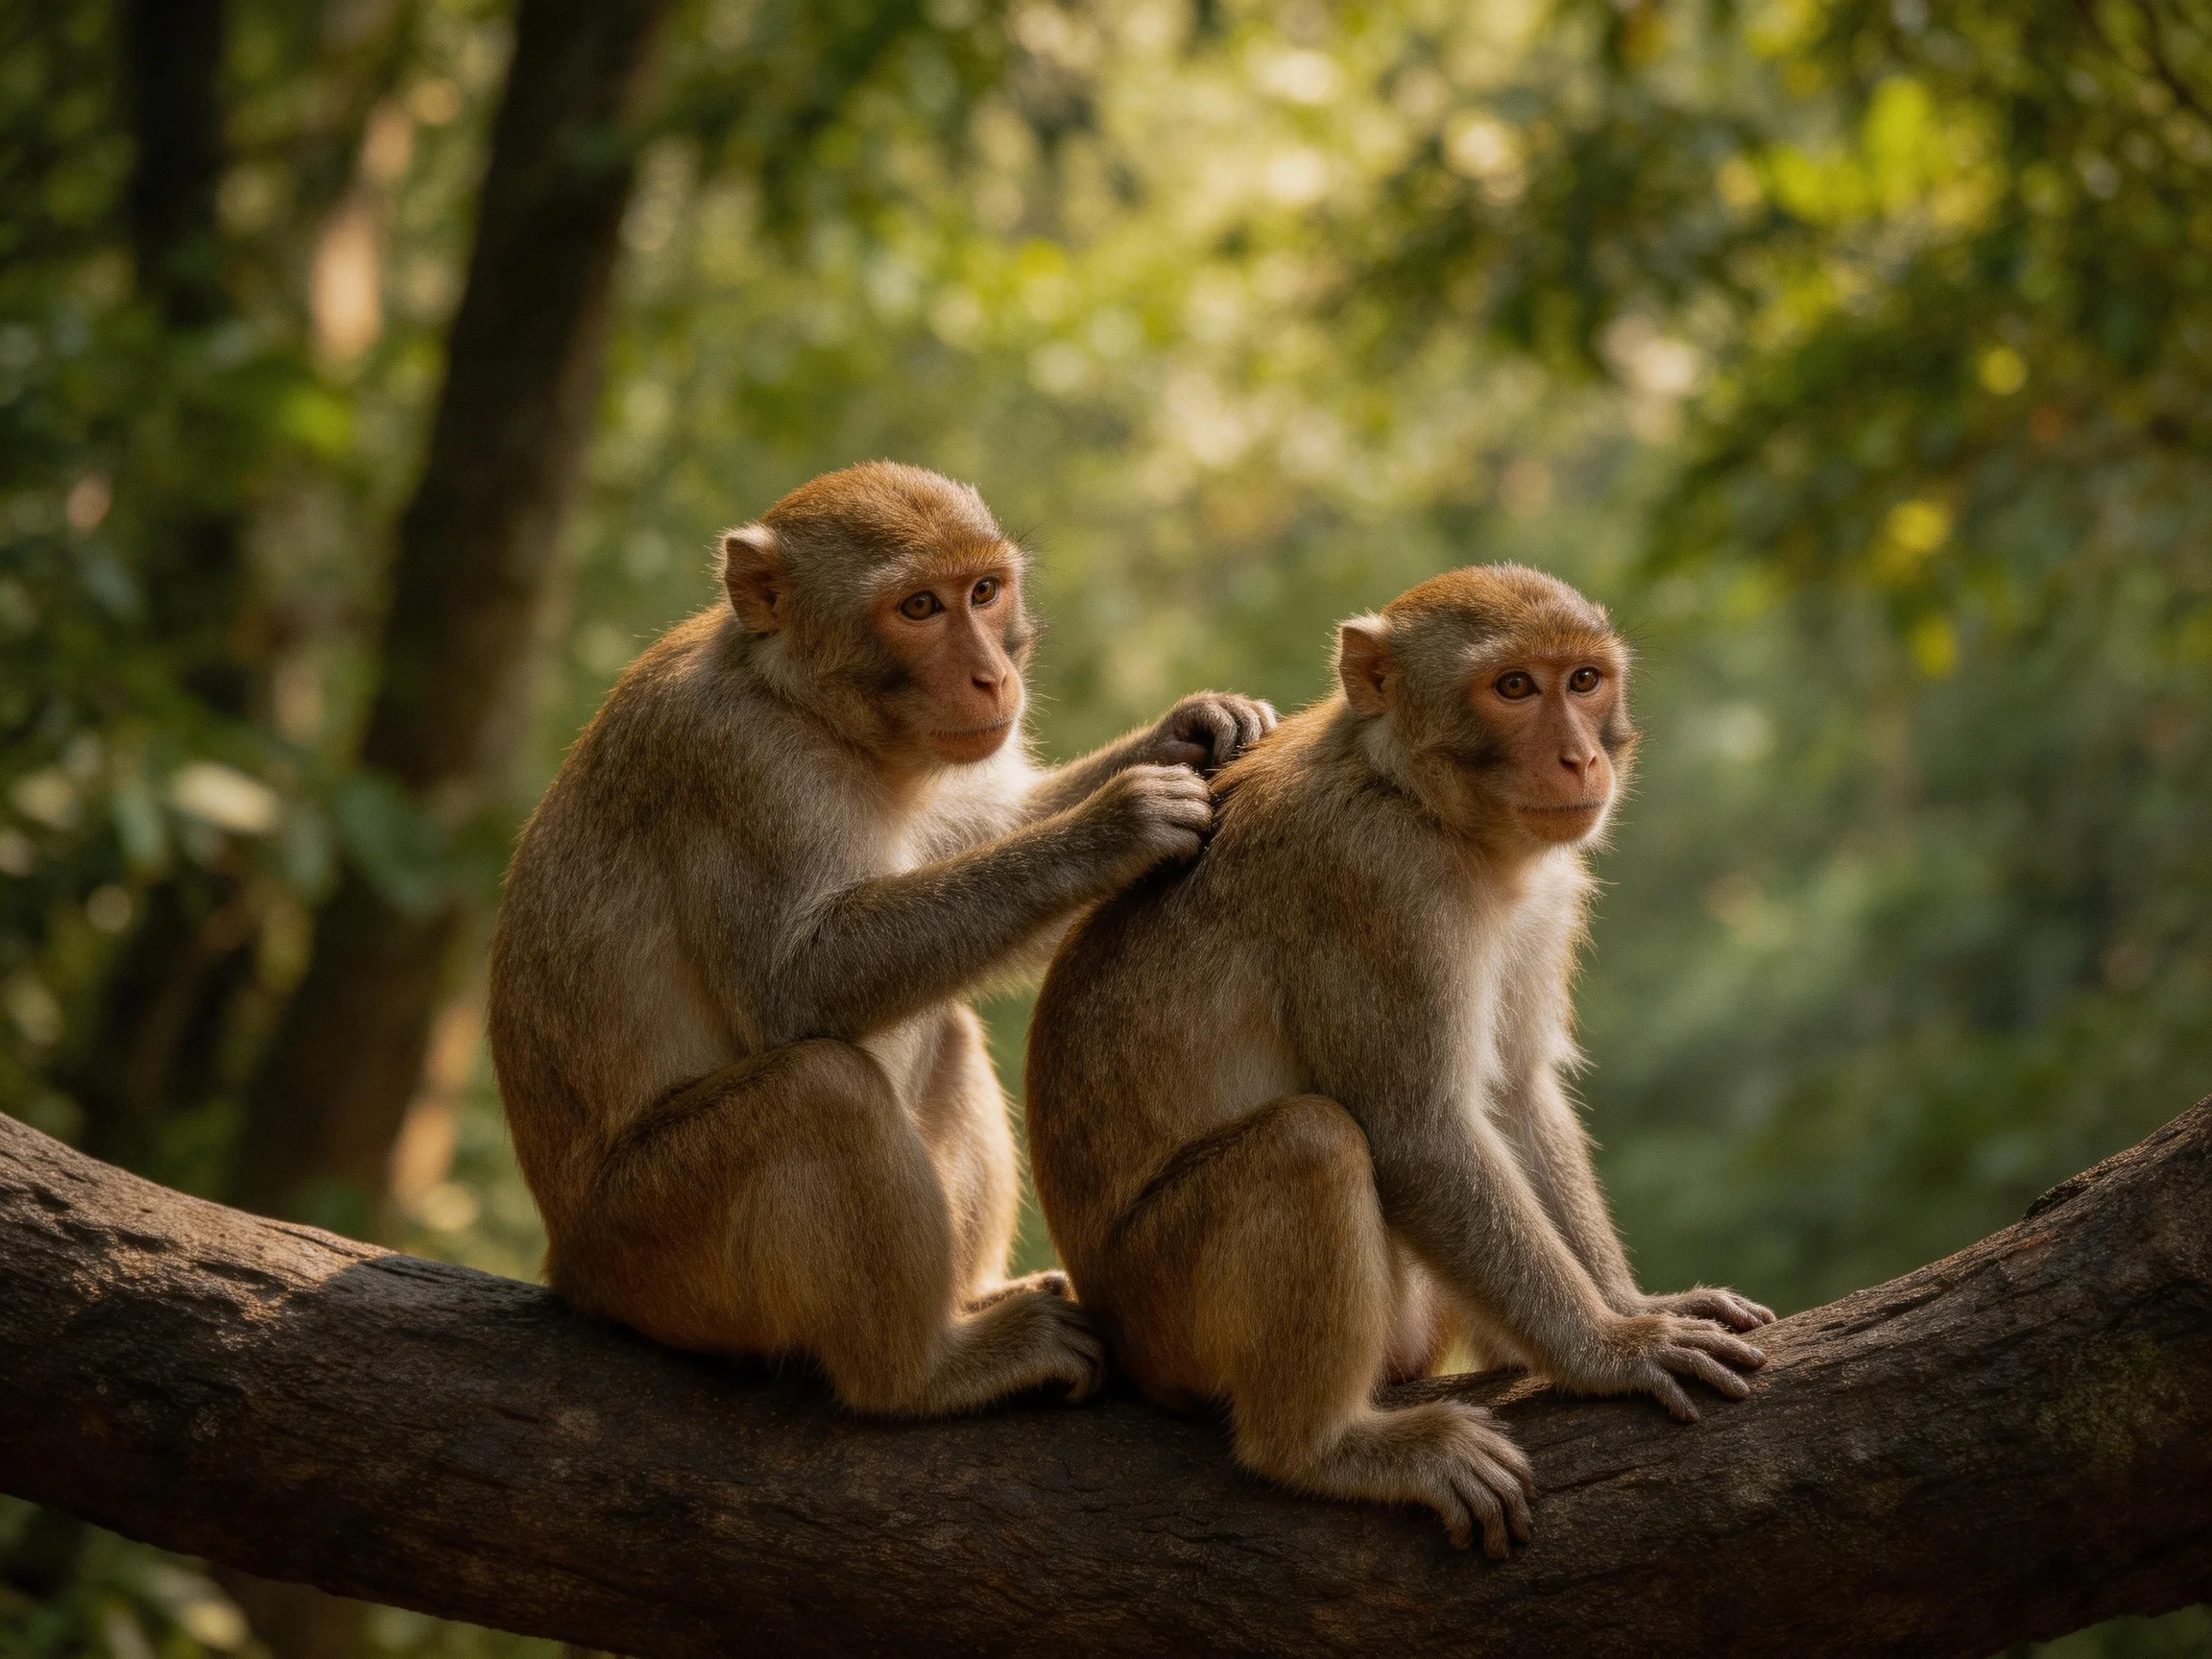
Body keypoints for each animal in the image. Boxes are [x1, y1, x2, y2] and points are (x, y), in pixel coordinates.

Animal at [487, 461, 1277, 1418]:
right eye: (919, 608)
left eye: (984, 592)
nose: (989, 679)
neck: (803, 704)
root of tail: (571, 1264)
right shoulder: (739, 764)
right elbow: (794, 986)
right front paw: (1115, 826)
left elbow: (989, 828)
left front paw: (1195, 726)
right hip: (654, 1245)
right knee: (822, 1090)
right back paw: (922, 1369)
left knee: (945, 1027)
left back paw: (971, 1305)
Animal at [1024, 563, 1774, 1555]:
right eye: (1513, 688)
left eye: (1583, 681)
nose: (1581, 759)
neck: (1411, 795)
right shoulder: (1379, 882)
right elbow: (1419, 1134)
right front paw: (1612, 1351)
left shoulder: (1545, 884)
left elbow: (1514, 1097)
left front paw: (1634, 1306)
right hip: (1160, 1315)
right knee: (1309, 1142)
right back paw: (1323, 1449)